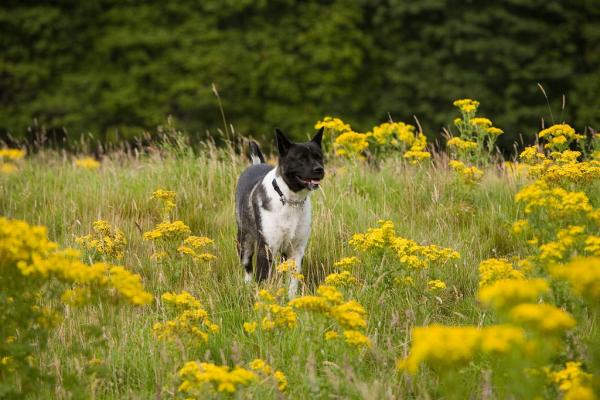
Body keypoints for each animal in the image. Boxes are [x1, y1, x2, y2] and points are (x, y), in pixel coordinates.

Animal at [237, 128, 326, 296]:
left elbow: (292, 283)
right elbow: (263, 280)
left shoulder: (296, 251)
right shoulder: (266, 249)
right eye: (301, 159)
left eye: (319, 157)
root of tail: (256, 164)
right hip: (244, 241)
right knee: (247, 267)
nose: (320, 169)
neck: (289, 199)